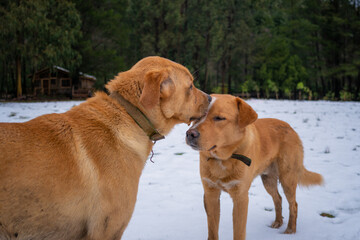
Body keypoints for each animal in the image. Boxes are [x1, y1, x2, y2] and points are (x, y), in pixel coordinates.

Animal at [186, 94, 324, 240]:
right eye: (197, 116)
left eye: (219, 118)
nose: (190, 134)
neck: (223, 159)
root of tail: (291, 128)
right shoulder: (210, 193)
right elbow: (212, 231)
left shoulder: (241, 197)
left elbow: (239, 233)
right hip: (268, 180)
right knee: (278, 198)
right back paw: (278, 222)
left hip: (287, 178)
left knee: (294, 204)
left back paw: (290, 230)